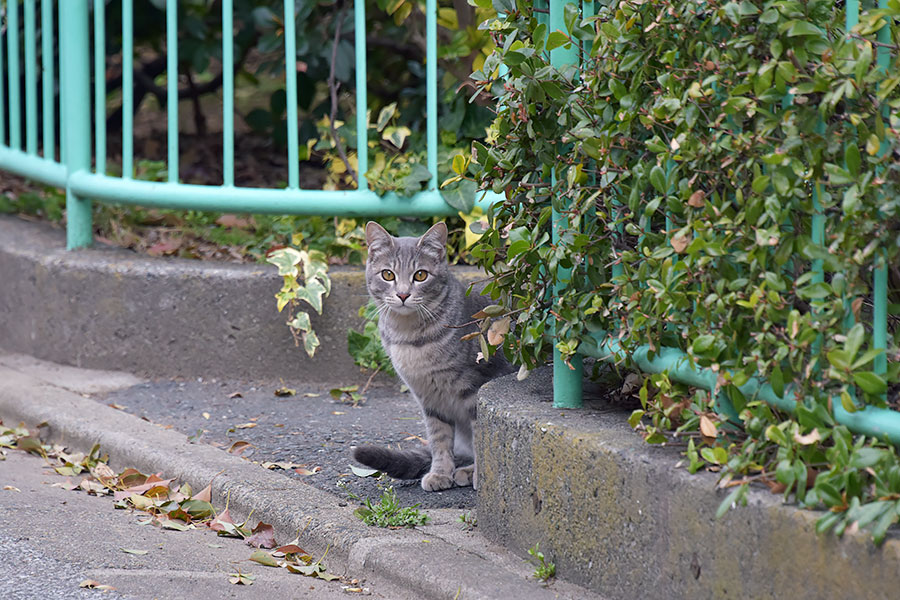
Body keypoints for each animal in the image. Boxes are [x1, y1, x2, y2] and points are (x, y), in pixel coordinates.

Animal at [356, 223, 516, 490]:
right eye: (387, 275)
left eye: (420, 275)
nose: (402, 295)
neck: (409, 337)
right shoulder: (429, 398)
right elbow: (439, 439)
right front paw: (440, 473)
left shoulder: (475, 389)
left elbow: (480, 437)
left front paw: (479, 476)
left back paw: (468, 471)